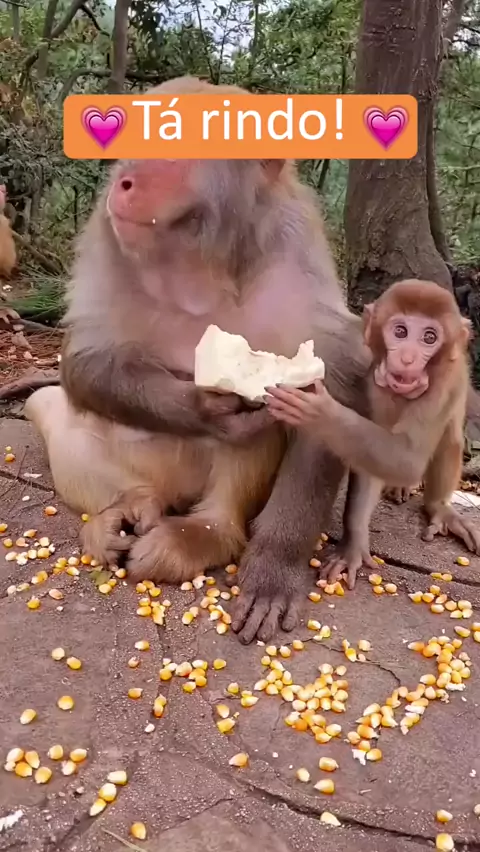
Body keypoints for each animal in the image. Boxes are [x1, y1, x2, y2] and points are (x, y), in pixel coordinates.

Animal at [24, 75, 376, 645]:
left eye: (173, 142)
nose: (123, 181)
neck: (196, 263)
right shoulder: (104, 231)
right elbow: (85, 357)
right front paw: (202, 408)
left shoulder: (294, 248)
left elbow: (328, 390)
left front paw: (273, 570)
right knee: (50, 405)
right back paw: (120, 511)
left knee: (258, 435)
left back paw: (206, 533)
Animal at [265, 279, 480, 589]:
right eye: (400, 332)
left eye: (429, 337)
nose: (407, 358)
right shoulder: (370, 378)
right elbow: (371, 466)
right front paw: (353, 545)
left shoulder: (441, 386)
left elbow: (407, 460)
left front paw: (320, 412)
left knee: (448, 438)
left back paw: (439, 507)